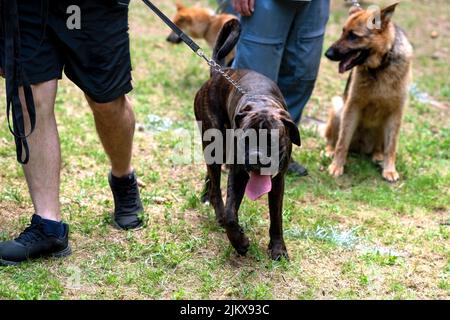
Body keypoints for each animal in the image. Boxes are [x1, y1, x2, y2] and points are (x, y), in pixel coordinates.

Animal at [192, 18, 298, 260]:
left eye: (272, 140)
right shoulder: (238, 173)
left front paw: (278, 248)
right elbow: (231, 214)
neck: (263, 103)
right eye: (246, 139)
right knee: (216, 189)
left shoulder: (278, 180)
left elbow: (276, 216)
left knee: (212, 176)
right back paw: (215, 206)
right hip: (213, 141)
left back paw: (206, 194)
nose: (257, 158)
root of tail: (220, 72)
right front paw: (239, 242)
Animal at [324, 3, 412, 182]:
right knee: (333, 139)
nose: (327, 54)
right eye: (342, 31)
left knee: (380, 147)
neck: (380, 67)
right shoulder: (352, 107)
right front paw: (336, 166)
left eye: (353, 36)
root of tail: (360, 146)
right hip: (338, 108)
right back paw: (330, 151)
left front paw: (389, 169)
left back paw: (378, 156)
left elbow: (391, 147)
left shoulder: (396, 112)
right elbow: (342, 142)